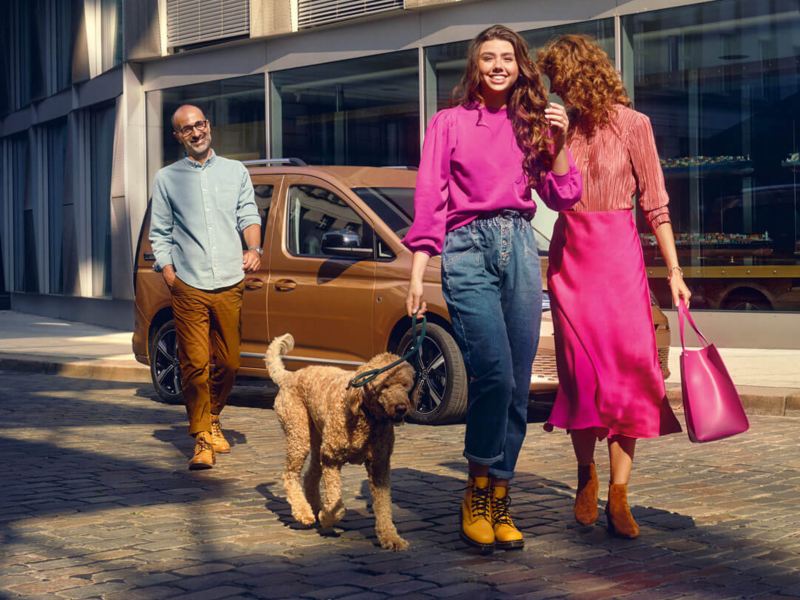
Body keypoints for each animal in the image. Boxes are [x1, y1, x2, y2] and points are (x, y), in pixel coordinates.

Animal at [268, 336, 418, 552]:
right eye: (383, 386)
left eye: (406, 385)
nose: (401, 408)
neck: (366, 418)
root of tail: (289, 376)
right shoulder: (331, 459)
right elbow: (336, 504)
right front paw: (327, 517)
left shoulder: (380, 466)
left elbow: (383, 507)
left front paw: (391, 538)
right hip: (299, 434)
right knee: (290, 475)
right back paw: (304, 512)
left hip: (317, 440)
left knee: (310, 476)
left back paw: (314, 507)